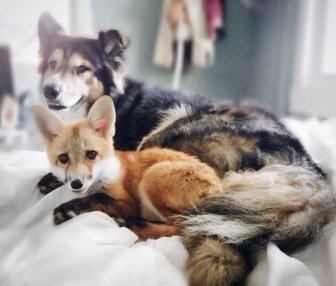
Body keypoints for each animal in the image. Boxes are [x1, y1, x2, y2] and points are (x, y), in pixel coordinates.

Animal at [35, 11, 334, 286]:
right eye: (52, 64)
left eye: (82, 69)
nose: (50, 90)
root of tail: (305, 167)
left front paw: (69, 197)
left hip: (169, 131)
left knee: (182, 222)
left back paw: (129, 221)